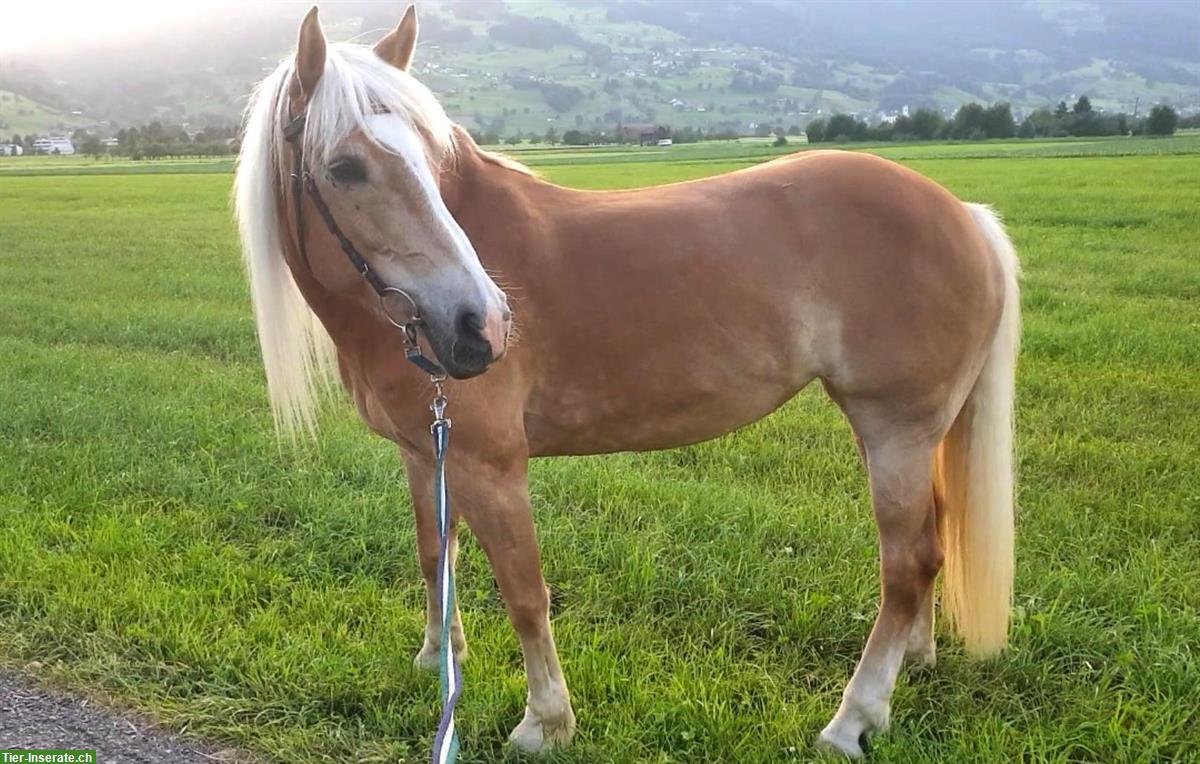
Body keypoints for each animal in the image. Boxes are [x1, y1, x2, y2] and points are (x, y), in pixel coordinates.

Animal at [236, 5, 1022, 758]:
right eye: (344, 168)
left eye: (432, 159)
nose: (481, 325)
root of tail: (966, 217)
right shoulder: (424, 450)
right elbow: (437, 556)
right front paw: (438, 660)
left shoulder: (489, 464)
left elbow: (524, 589)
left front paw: (545, 723)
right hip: (909, 435)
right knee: (932, 541)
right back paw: (910, 665)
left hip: (894, 429)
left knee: (907, 562)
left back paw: (852, 720)